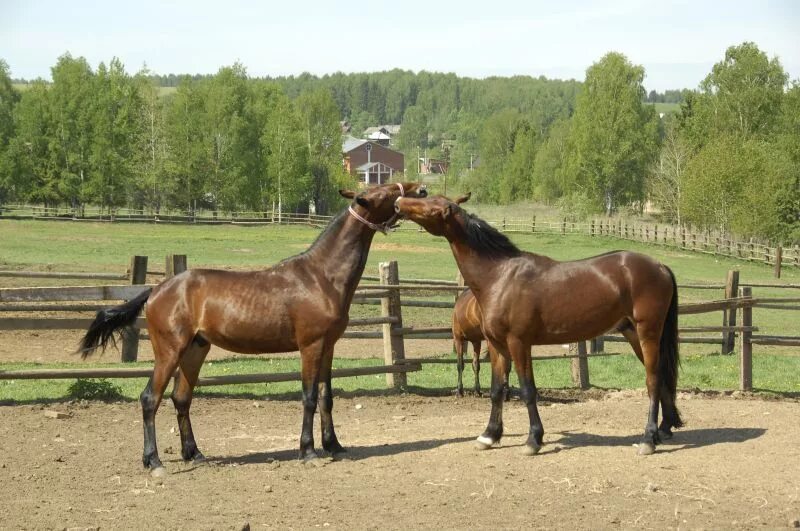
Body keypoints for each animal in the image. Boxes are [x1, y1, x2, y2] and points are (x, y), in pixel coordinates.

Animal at [79, 182, 428, 474]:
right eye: (387, 191)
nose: (421, 190)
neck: (321, 276)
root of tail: (156, 290)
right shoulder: (311, 346)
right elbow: (309, 397)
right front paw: (308, 451)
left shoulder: (328, 346)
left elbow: (326, 397)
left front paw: (335, 446)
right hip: (169, 351)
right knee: (150, 398)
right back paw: (153, 461)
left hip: (195, 350)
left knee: (181, 399)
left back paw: (195, 454)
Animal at [396, 195, 680, 458]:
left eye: (432, 207)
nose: (399, 202)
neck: (499, 276)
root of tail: (661, 266)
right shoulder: (497, 346)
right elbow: (497, 390)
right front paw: (489, 435)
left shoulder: (518, 343)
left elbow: (527, 390)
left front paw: (533, 439)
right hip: (634, 334)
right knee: (662, 377)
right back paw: (665, 428)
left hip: (647, 332)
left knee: (653, 380)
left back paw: (648, 438)